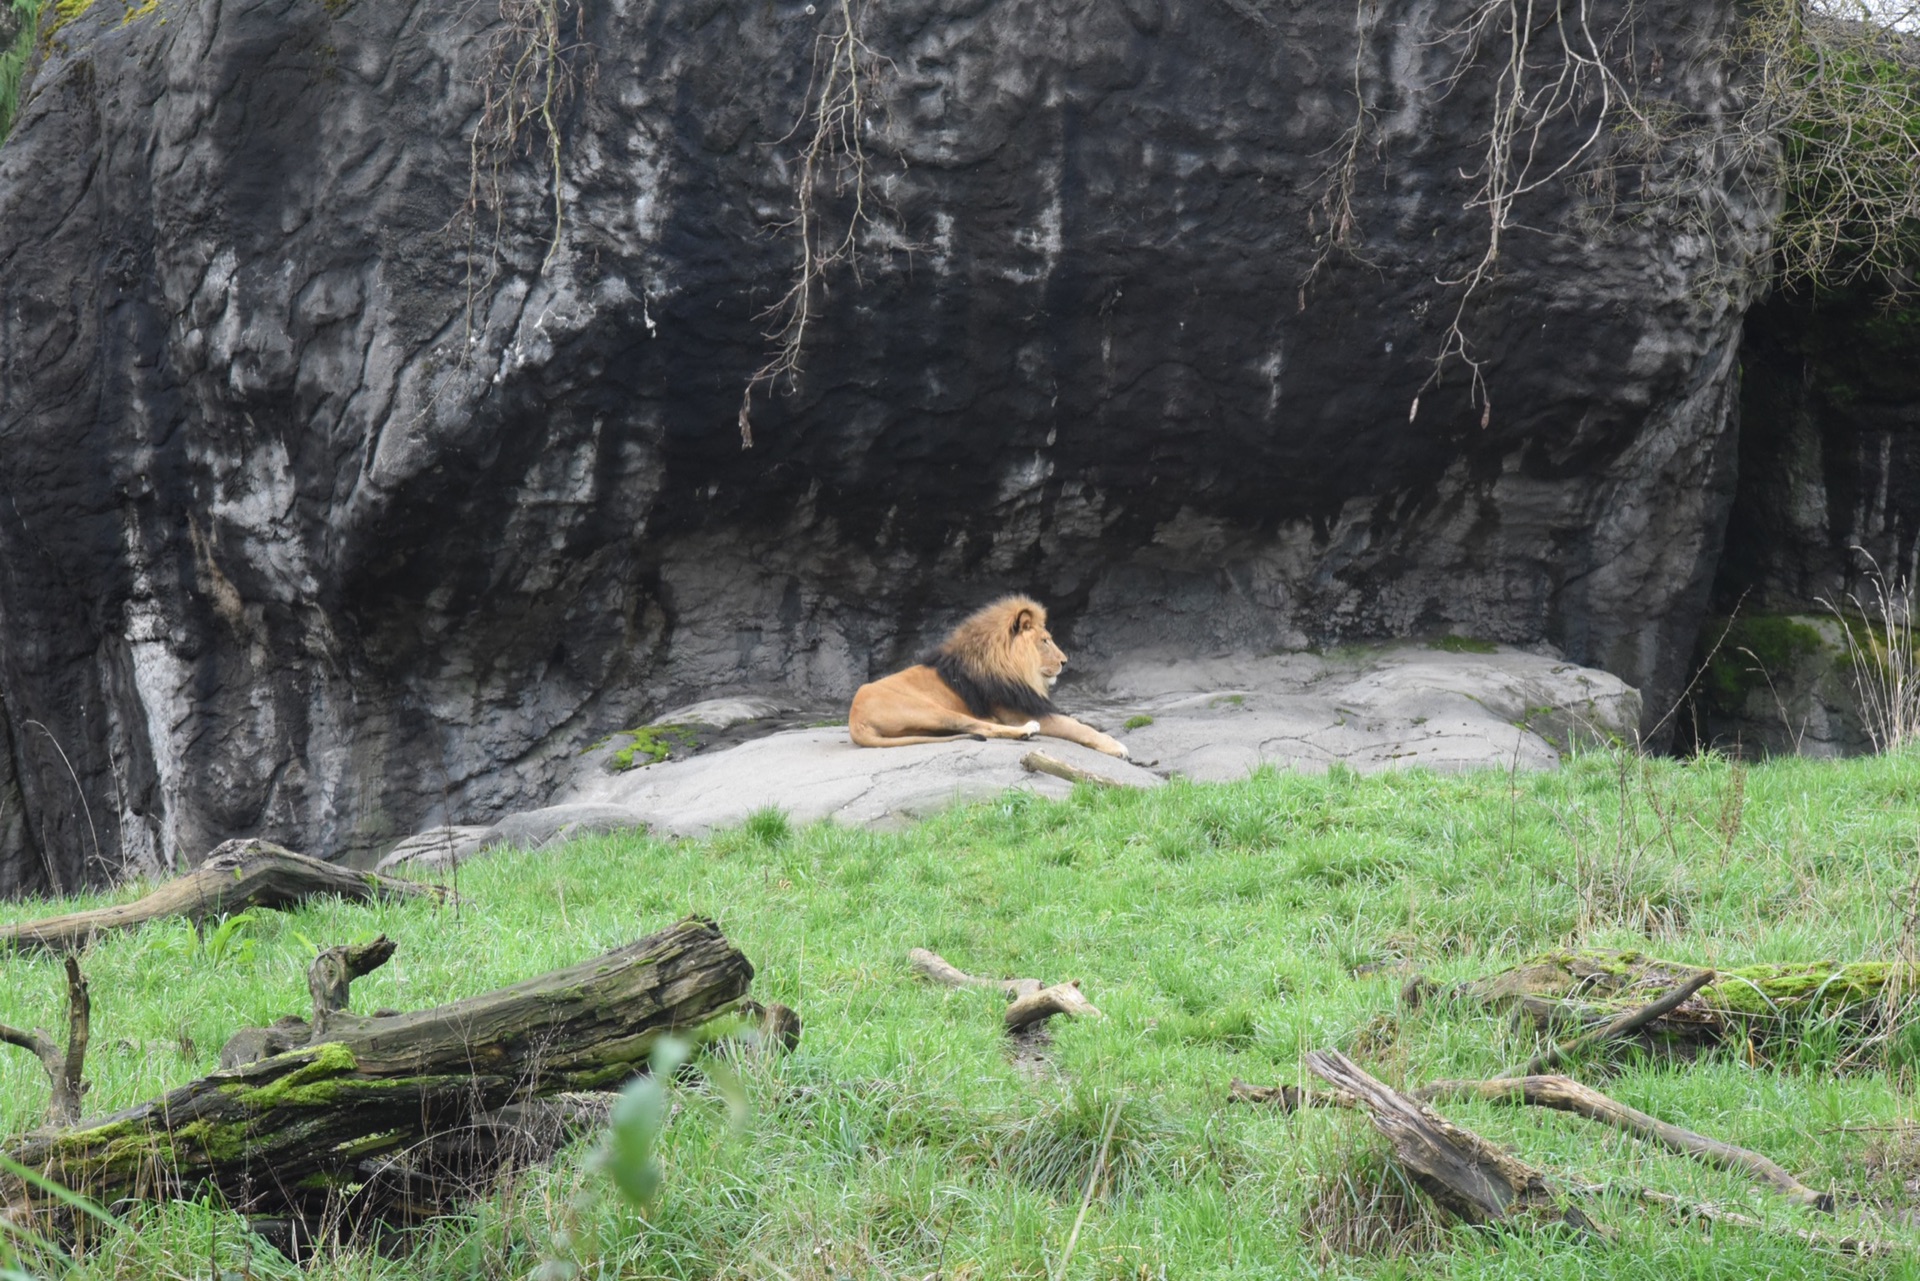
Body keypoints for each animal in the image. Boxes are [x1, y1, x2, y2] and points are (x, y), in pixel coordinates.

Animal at [848, 595, 1128, 756]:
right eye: (1045, 641)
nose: (1064, 661)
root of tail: (854, 720)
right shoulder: (1016, 711)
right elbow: (1076, 727)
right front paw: (1116, 746)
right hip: (932, 710)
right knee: (981, 726)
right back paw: (1026, 731)